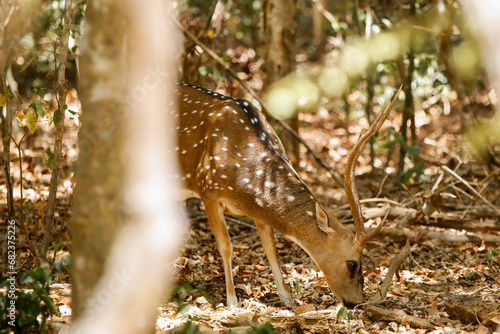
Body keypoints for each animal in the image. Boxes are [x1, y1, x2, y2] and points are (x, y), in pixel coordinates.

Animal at [176, 83, 398, 308]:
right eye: (353, 264)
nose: (357, 302)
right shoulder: (208, 191)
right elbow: (226, 246)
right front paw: (231, 301)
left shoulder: (257, 209)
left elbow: (271, 249)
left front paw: (288, 298)